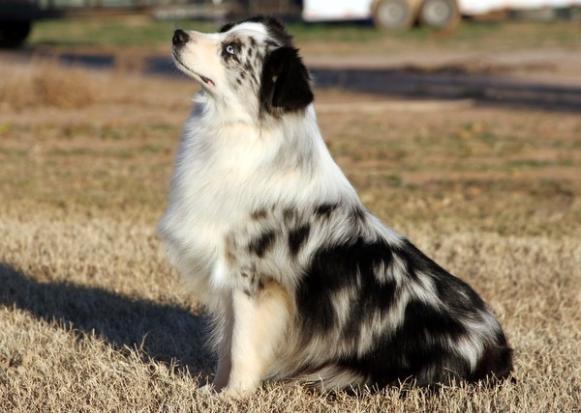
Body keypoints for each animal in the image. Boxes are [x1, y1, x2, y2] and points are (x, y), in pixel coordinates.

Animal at [158, 16, 513, 394]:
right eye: (224, 28)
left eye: (231, 50)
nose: (177, 34)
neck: (246, 133)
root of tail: (497, 350)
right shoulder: (230, 287)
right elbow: (227, 347)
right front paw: (211, 390)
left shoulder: (254, 281)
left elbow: (241, 349)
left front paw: (232, 397)